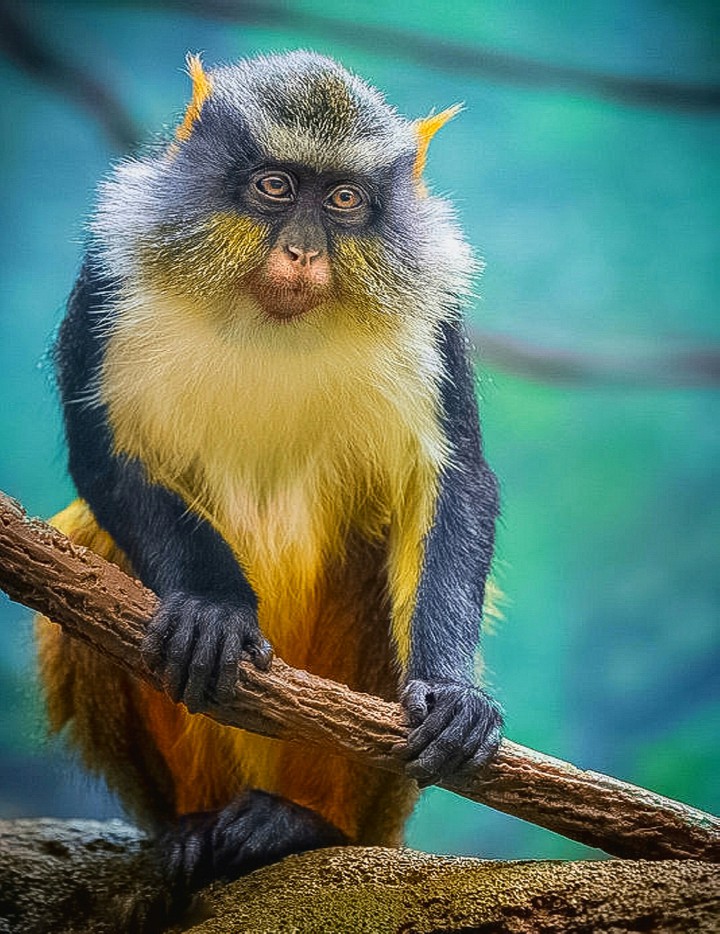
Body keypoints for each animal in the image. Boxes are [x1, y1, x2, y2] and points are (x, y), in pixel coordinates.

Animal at [36, 50, 503, 905]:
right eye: (276, 186)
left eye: (345, 200)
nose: (305, 252)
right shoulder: (111, 269)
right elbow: (103, 451)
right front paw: (212, 610)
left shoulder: (432, 312)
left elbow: (452, 480)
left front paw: (454, 691)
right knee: (96, 548)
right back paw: (194, 827)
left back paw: (297, 822)